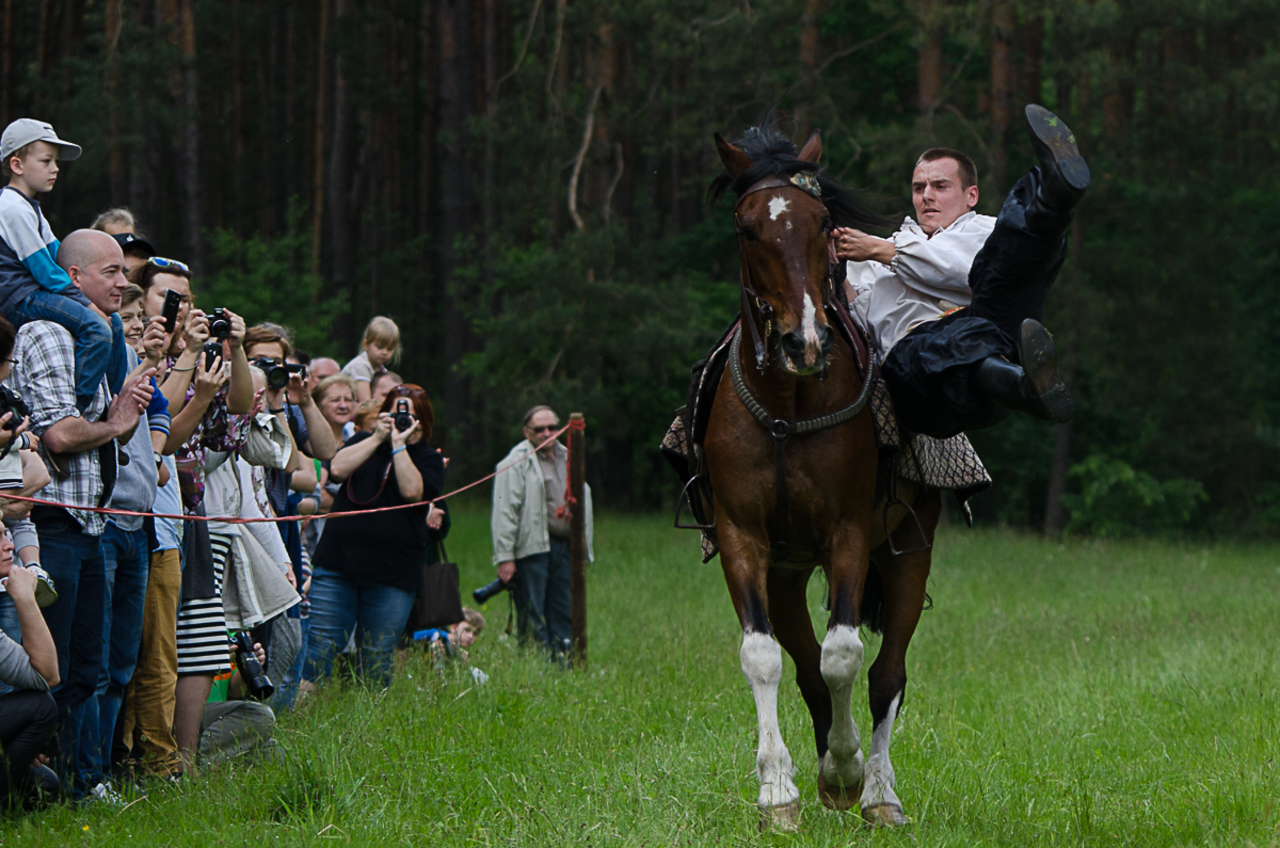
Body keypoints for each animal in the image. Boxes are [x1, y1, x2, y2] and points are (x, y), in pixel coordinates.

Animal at [701, 126, 942, 830]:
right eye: (747, 228)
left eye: (823, 224)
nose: (803, 342)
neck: (789, 405)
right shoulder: (744, 538)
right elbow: (765, 658)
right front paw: (778, 792)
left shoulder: (849, 535)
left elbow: (844, 656)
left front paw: (845, 768)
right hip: (785, 572)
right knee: (804, 666)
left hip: (908, 550)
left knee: (886, 674)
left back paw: (878, 791)